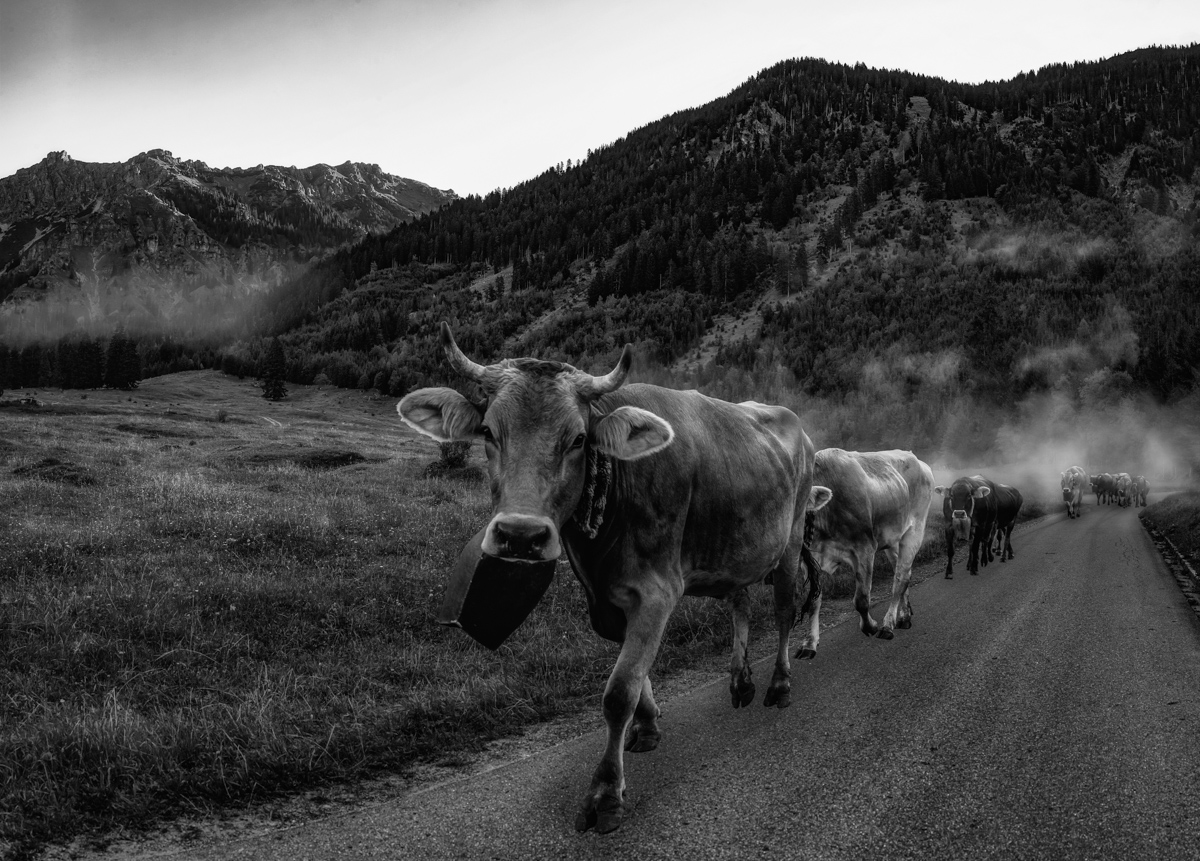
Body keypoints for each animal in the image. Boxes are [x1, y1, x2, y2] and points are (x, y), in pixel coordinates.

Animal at [397, 323, 830, 834]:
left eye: (579, 439)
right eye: (487, 431)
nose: (520, 535)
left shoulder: (657, 592)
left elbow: (619, 690)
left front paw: (606, 792)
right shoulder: (604, 598)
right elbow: (635, 671)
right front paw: (647, 727)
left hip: (791, 539)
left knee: (783, 610)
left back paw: (778, 685)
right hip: (736, 552)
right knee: (740, 605)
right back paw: (740, 681)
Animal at [796, 449, 934, 659]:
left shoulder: (865, 548)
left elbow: (861, 599)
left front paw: (871, 626)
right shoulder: (811, 559)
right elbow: (813, 601)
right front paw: (809, 644)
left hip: (914, 532)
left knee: (900, 578)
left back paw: (888, 625)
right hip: (893, 539)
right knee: (903, 573)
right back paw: (904, 616)